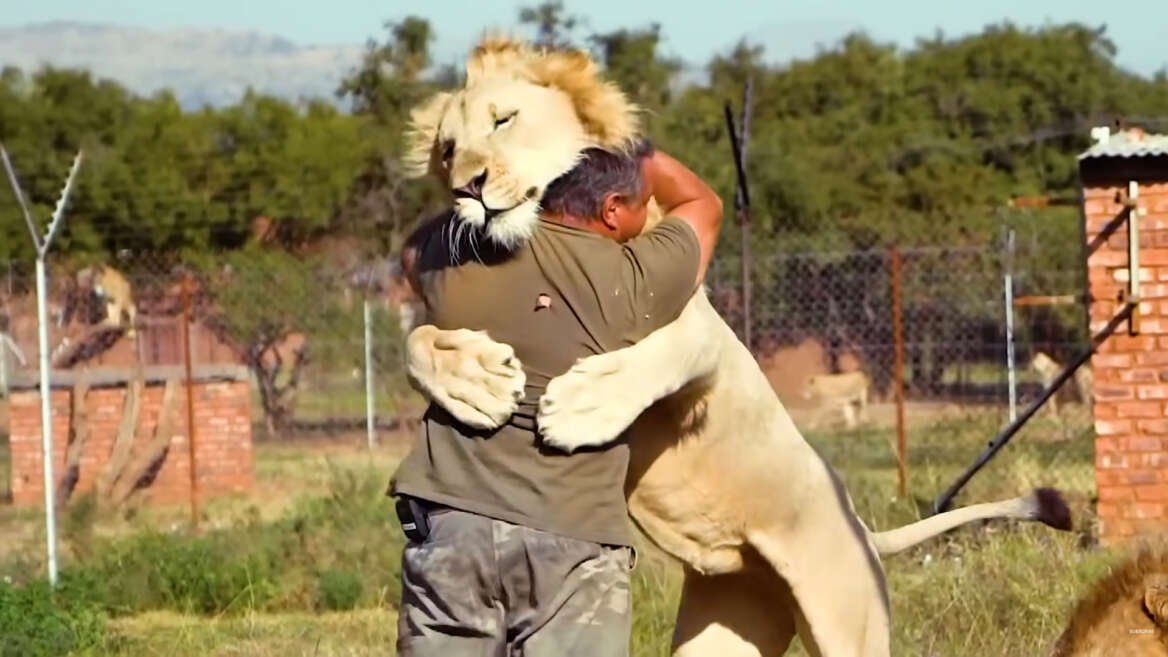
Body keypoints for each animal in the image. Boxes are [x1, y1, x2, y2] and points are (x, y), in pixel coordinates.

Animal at [398, 35, 1074, 657]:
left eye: (504, 119)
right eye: (448, 151)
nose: (468, 189)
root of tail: (860, 526)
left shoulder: (696, 319)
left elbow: (668, 352)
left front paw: (580, 406)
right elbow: (415, 339)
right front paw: (476, 383)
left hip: (849, 622)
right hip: (730, 626)